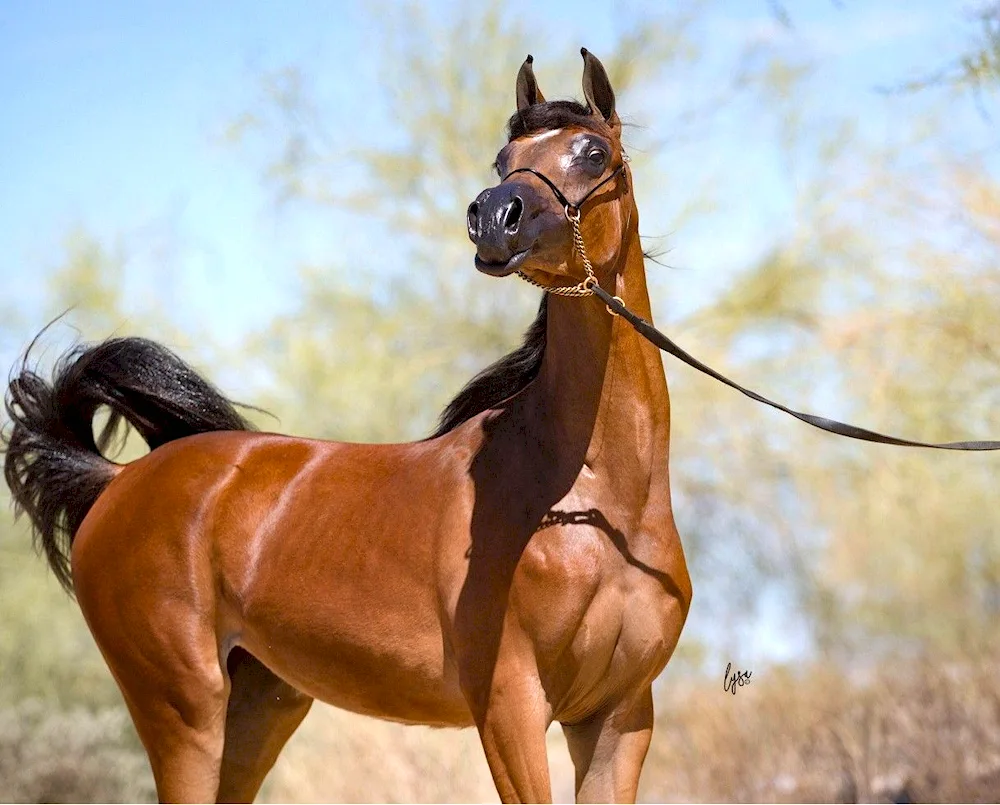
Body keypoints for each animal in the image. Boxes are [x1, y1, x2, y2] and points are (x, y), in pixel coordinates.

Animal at [5, 51, 696, 804]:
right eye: (503, 157)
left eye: (593, 151)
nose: (493, 218)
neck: (593, 504)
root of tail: (120, 479)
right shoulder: (510, 706)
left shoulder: (618, 718)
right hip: (181, 711)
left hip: (260, 705)